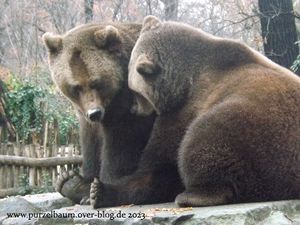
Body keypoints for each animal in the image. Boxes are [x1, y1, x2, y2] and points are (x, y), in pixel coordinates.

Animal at [43, 22, 156, 204]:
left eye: (96, 82)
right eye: (76, 87)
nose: (94, 113)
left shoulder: (132, 107)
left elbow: (121, 144)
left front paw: (99, 186)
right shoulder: (85, 116)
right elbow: (91, 142)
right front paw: (85, 183)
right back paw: (69, 182)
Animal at [89, 15, 300, 208]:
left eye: (135, 91)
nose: (134, 108)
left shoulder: (187, 106)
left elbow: (160, 162)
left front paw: (99, 190)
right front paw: (97, 191)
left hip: (258, 128)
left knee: (205, 137)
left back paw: (195, 194)